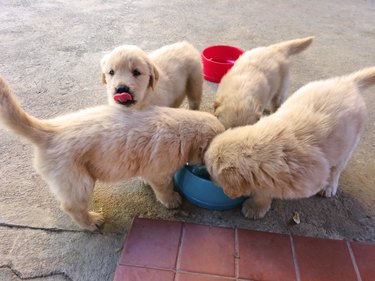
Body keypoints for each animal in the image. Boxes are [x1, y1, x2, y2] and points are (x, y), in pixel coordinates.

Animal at [0, 75, 223, 231]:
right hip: (77, 180)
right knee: (72, 205)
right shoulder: (160, 170)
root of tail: (50, 130)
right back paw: (91, 222)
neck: (182, 130)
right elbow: (164, 187)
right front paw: (172, 200)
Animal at [206, 66, 375, 219]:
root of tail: (348, 82)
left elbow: (269, 189)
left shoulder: (302, 181)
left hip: (350, 144)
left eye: (212, 172)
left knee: (337, 168)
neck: (268, 143)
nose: (210, 180)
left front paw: (256, 206)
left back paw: (330, 186)